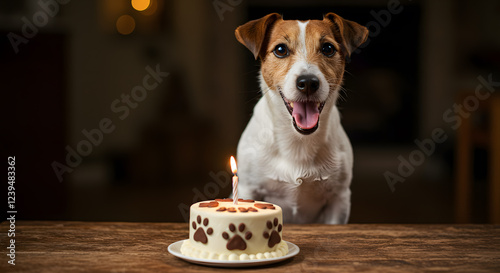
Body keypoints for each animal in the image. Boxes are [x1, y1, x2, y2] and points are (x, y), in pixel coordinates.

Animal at [233, 12, 368, 223]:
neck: (298, 141)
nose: (308, 82)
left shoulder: (339, 199)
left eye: (328, 48)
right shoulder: (249, 188)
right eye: (280, 50)